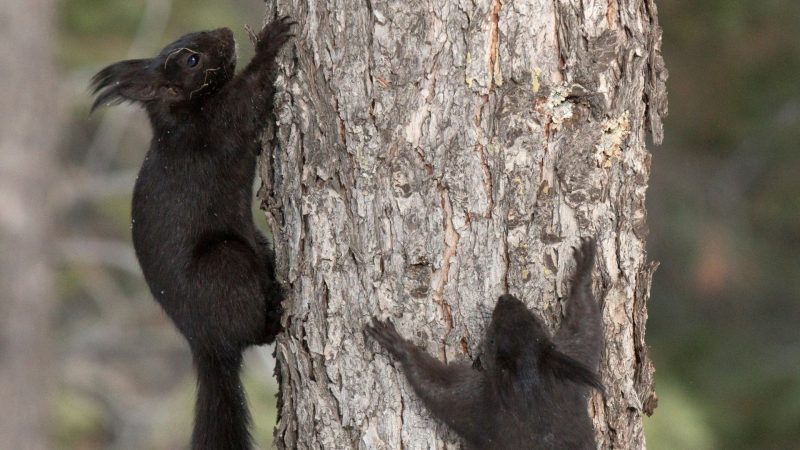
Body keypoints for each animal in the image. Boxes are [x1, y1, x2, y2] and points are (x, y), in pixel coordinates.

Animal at [90, 16, 296, 450]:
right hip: (227, 262)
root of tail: (204, 344)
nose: (226, 33)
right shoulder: (214, 130)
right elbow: (248, 98)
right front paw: (270, 41)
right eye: (191, 60)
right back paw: (274, 318)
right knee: (250, 333)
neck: (181, 118)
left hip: (258, 246)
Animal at [366, 239, 604, 450]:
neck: (531, 385)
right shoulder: (568, 366)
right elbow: (585, 327)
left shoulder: (479, 403)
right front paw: (584, 269)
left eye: (492, 338)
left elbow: (438, 388)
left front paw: (398, 345)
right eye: (536, 320)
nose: (505, 298)